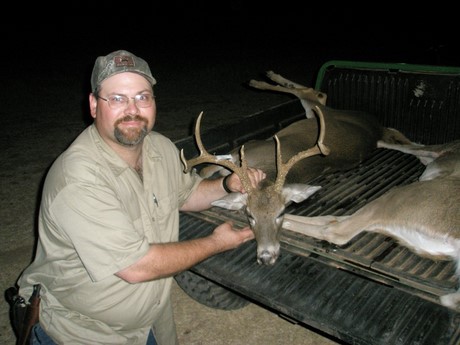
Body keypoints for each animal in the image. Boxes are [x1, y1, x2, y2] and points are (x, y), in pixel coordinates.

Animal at [199, 70, 414, 183]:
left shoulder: (247, 146)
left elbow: (205, 170)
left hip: (318, 114)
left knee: (313, 93)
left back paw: (259, 81)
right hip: (319, 113)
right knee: (315, 93)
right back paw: (266, 78)